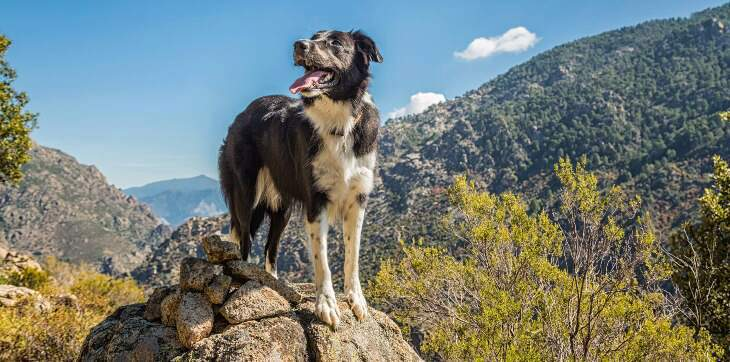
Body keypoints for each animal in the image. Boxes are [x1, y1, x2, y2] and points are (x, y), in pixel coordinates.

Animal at [216, 29, 382, 326]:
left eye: (335, 43)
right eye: (314, 36)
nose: (299, 45)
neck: (338, 119)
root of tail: (242, 113)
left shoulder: (358, 200)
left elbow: (352, 256)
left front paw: (356, 300)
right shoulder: (317, 202)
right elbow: (322, 260)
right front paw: (326, 305)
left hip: (281, 207)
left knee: (271, 247)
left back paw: (273, 282)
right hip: (246, 196)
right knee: (245, 242)